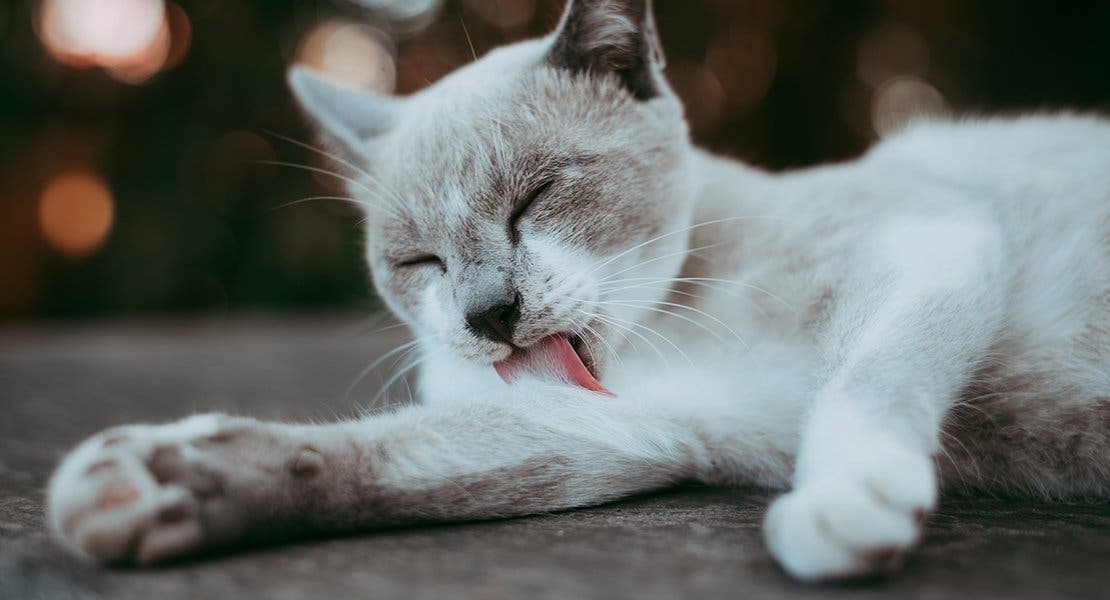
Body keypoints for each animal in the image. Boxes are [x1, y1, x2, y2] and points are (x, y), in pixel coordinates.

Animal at [47, 0, 1110, 581]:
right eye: (420, 262)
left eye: (536, 198)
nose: (489, 312)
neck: (672, 324)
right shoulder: (639, 427)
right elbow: (381, 459)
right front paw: (150, 483)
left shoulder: (929, 238)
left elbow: (866, 378)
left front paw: (843, 504)